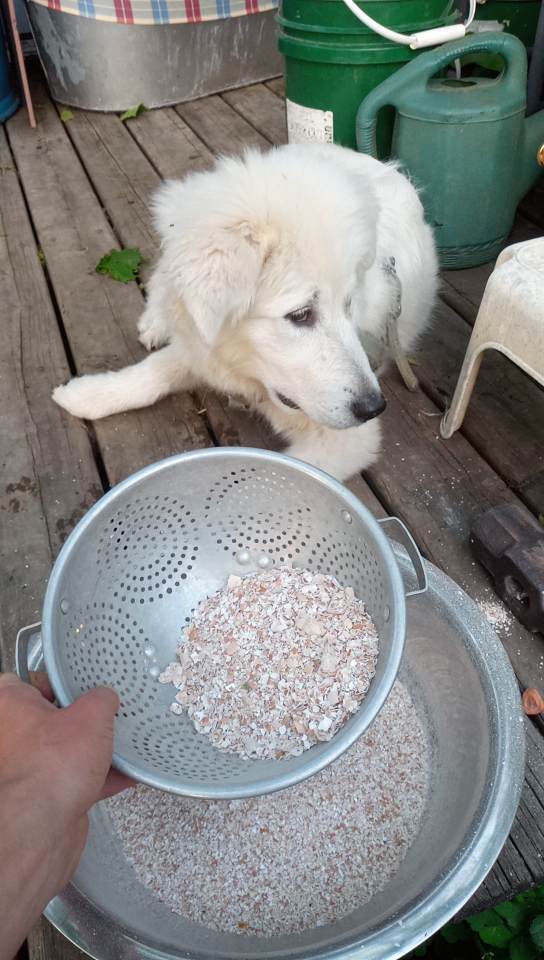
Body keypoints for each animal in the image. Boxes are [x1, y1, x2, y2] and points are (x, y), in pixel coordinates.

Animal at [53, 143, 438, 481]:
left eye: (349, 305)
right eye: (301, 314)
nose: (374, 407)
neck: (251, 372)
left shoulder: (348, 441)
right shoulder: (202, 348)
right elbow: (153, 371)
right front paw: (87, 394)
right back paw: (155, 321)